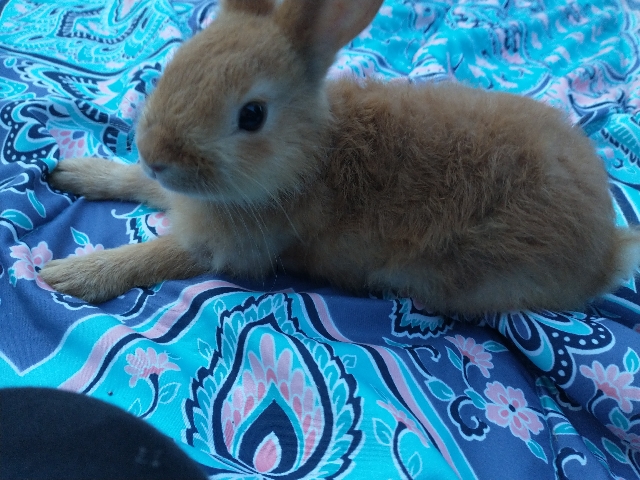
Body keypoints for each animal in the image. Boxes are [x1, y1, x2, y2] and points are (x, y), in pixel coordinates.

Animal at [40, 0, 640, 315]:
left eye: (252, 115)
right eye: (176, 62)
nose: (155, 154)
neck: (310, 156)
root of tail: (608, 251)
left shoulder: (228, 247)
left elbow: (158, 256)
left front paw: (72, 275)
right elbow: (142, 188)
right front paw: (78, 172)